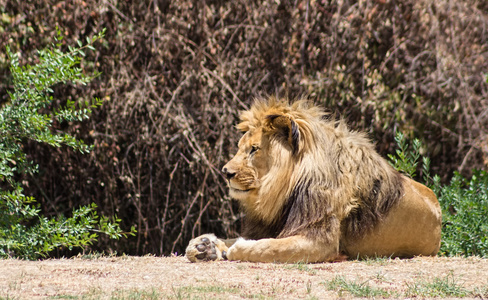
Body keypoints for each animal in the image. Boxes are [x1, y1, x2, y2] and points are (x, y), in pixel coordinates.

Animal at [184, 96, 442, 262]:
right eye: (240, 147)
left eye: (254, 149)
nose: (225, 172)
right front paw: (203, 246)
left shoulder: (320, 240)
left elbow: (267, 248)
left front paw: (236, 249)